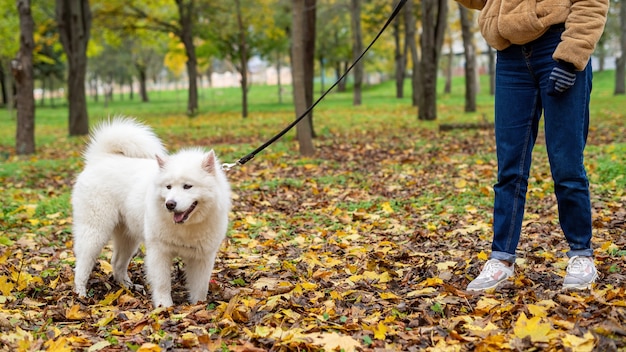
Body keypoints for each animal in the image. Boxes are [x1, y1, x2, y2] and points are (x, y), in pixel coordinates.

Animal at [71, 117, 232, 306]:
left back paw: (128, 287)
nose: (170, 204)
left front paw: (198, 306)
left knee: (117, 263)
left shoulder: (202, 257)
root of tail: (100, 158)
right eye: (168, 187)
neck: (186, 227)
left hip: (128, 237)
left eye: (187, 186)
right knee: (82, 264)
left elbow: (200, 287)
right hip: (95, 232)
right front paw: (164, 306)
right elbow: (162, 283)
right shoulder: (159, 251)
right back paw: (80, 294)